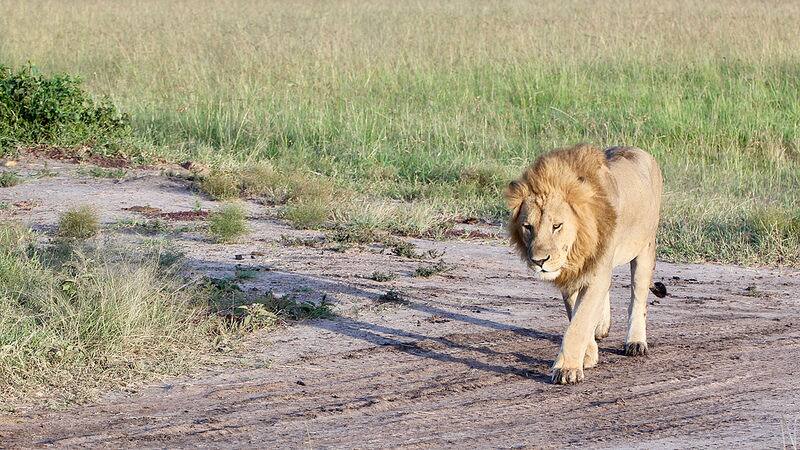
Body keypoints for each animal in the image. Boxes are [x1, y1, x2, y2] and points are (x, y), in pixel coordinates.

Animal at [506, 143, 668, 384]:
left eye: (557, 226)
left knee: (638, 297)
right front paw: (588, 355)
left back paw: (636, 342)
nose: (539, 261)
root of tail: (637, 149)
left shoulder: (596, 271)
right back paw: (601, 327)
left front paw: (567, 369)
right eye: (528, 226)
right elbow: (576, 313)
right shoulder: (571, 275)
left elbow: (579, 322)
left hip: (645, 246)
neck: (579, 245)